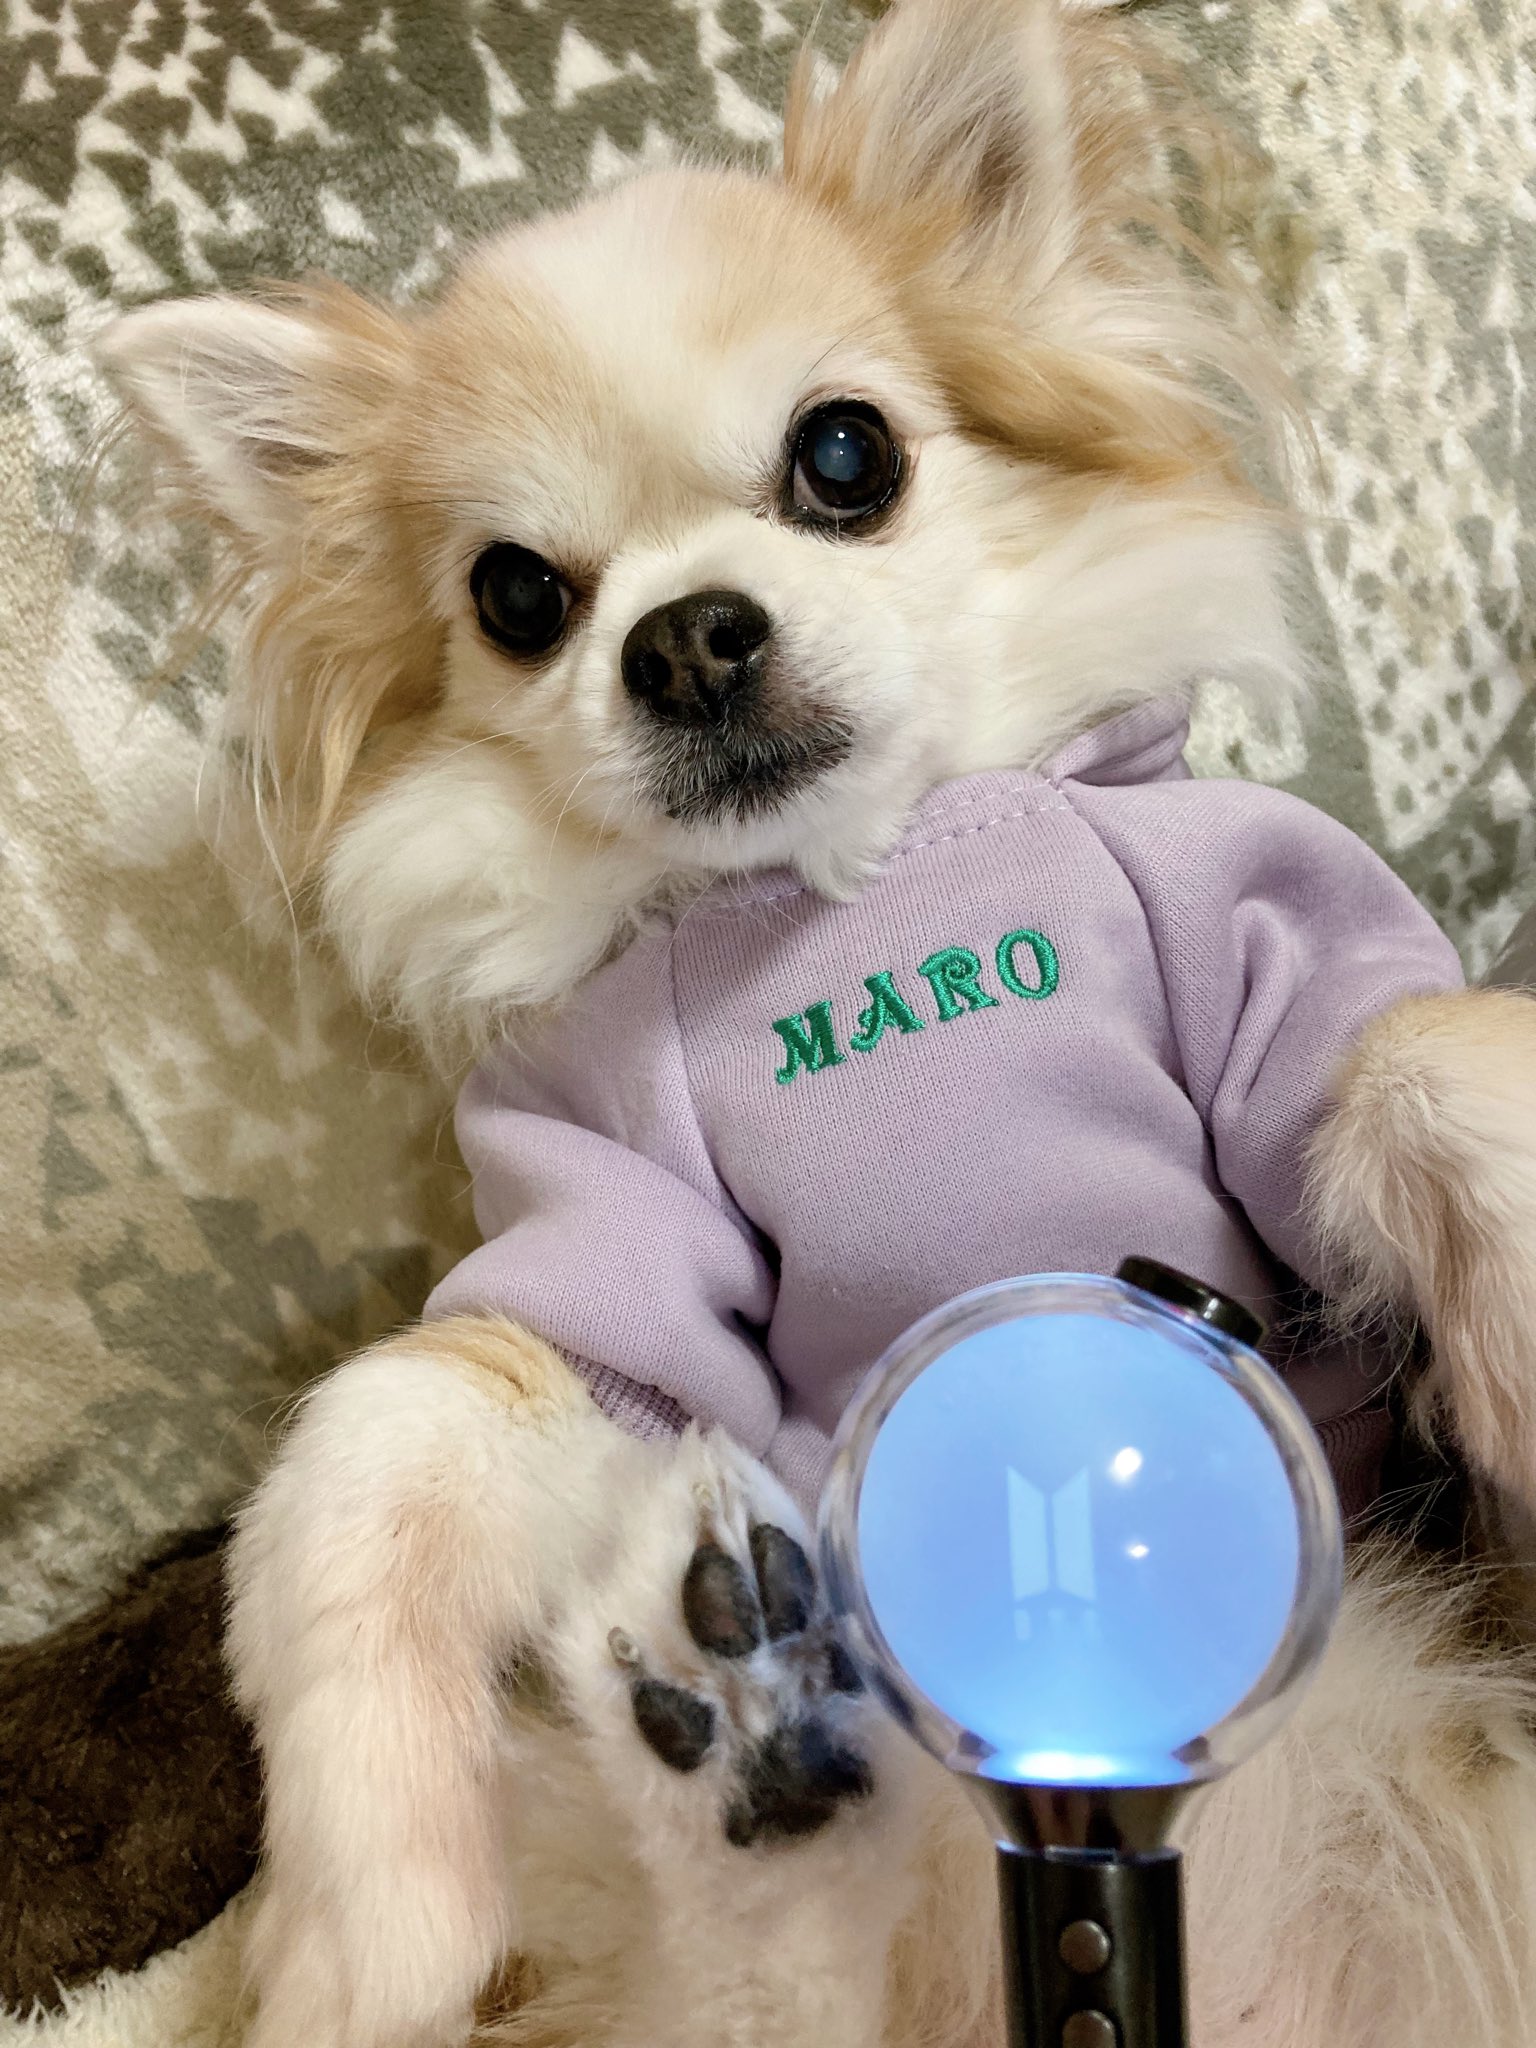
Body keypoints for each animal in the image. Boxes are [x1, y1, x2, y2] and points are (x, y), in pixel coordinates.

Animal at [97, 1, 1536, 2043]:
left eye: (843, 455)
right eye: (516, 596)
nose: (684, 632)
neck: (852, 897)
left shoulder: (1276, 989)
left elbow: (1432, 1054)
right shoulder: (598, 1255)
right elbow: (376, 1428)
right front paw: (355, 1937)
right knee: (772, 1985)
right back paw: (748, 1736)